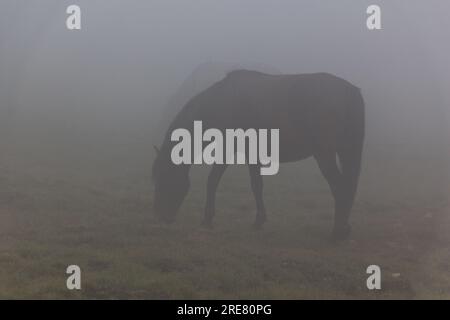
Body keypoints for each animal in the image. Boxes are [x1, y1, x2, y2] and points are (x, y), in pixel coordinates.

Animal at [153, 70, 364, 240]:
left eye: (164, 177)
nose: (162, 217)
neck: (221, 103)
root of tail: (350, 92)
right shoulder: (252, 155)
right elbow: (257, 185)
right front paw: (259, 221)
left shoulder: (226, 151)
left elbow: (212, 181)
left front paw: (207, 218)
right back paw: (344, 228)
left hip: (324, 155)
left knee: (340, 187)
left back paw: (337, 232)